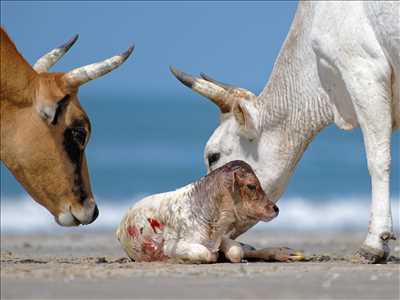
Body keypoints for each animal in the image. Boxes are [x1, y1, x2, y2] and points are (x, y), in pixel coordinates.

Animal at [115, 159, 278, 262]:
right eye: (251, 186)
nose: (275, 208)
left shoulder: (221, 238)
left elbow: (236, 251)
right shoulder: (171, 246)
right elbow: (205, 253)